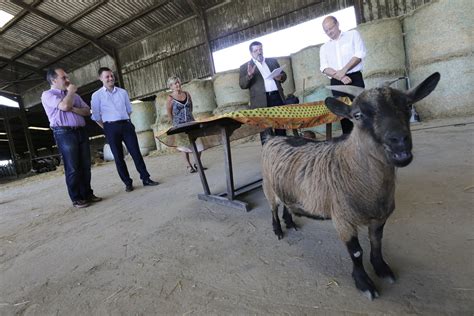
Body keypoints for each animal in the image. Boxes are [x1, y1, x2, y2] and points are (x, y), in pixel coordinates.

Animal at [262, 73, 438, 300]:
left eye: (408, 105)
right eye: (357, 115)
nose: (399, 140)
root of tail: (272, 138)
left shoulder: (380, 218)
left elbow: (376, 243)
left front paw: (382, 269)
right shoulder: (342, 219)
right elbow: (356, 252)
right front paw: (364, 283)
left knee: (285, 203)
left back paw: (290, 222)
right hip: (268, 186)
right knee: (273, 208)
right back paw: (278, 230)